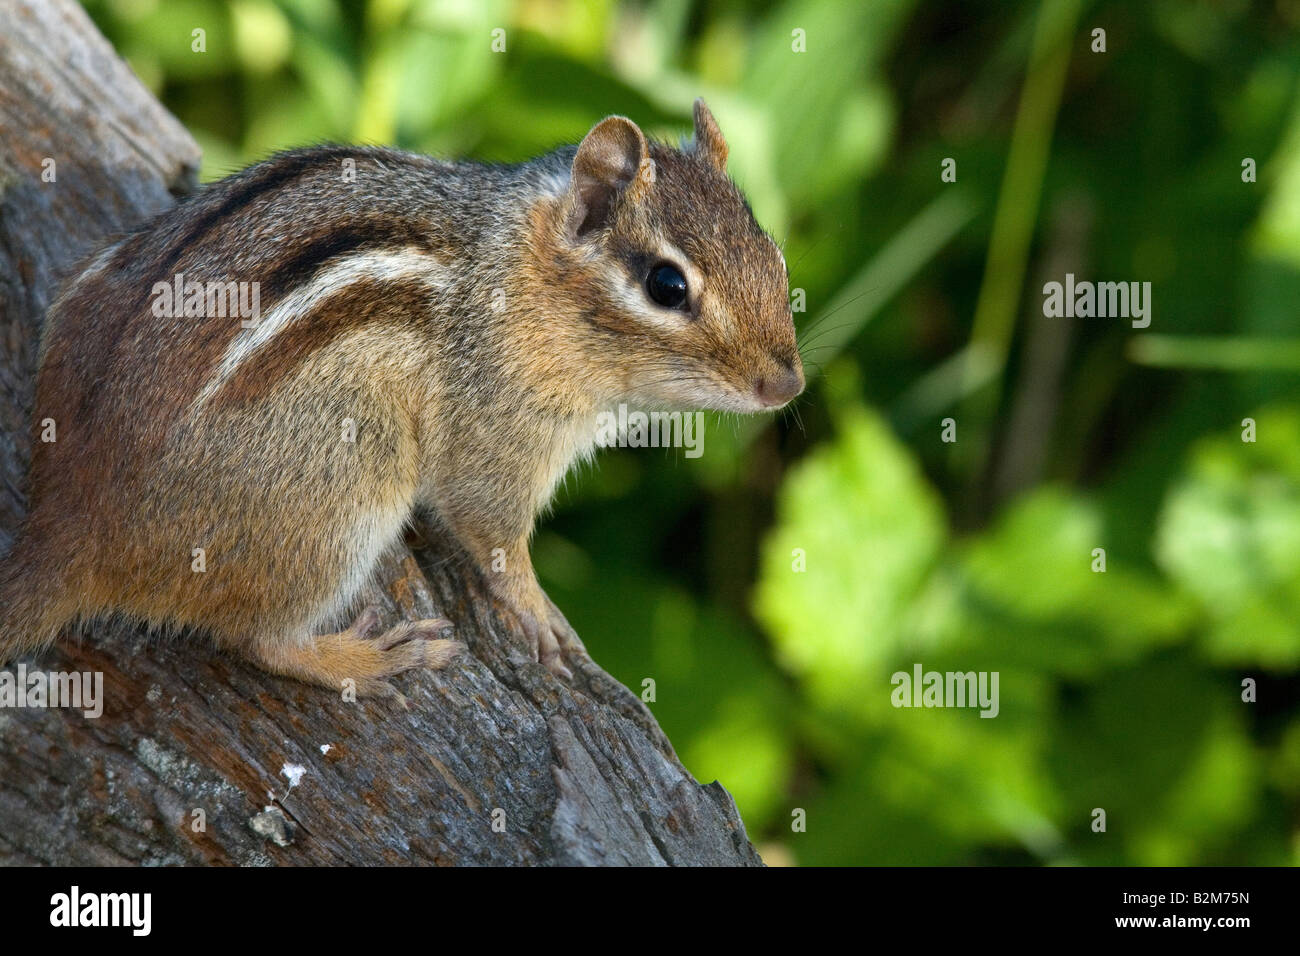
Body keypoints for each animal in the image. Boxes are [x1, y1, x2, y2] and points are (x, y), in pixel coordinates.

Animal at [0, 99, 803, 696]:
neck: (529, 272)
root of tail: (72, 520)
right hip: (345, 485)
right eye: (667, 286)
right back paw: (368, 658)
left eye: (775, 254)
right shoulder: (499, 425)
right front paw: (542, 614)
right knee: (260, 640)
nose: (788, 385)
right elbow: (493, 533)